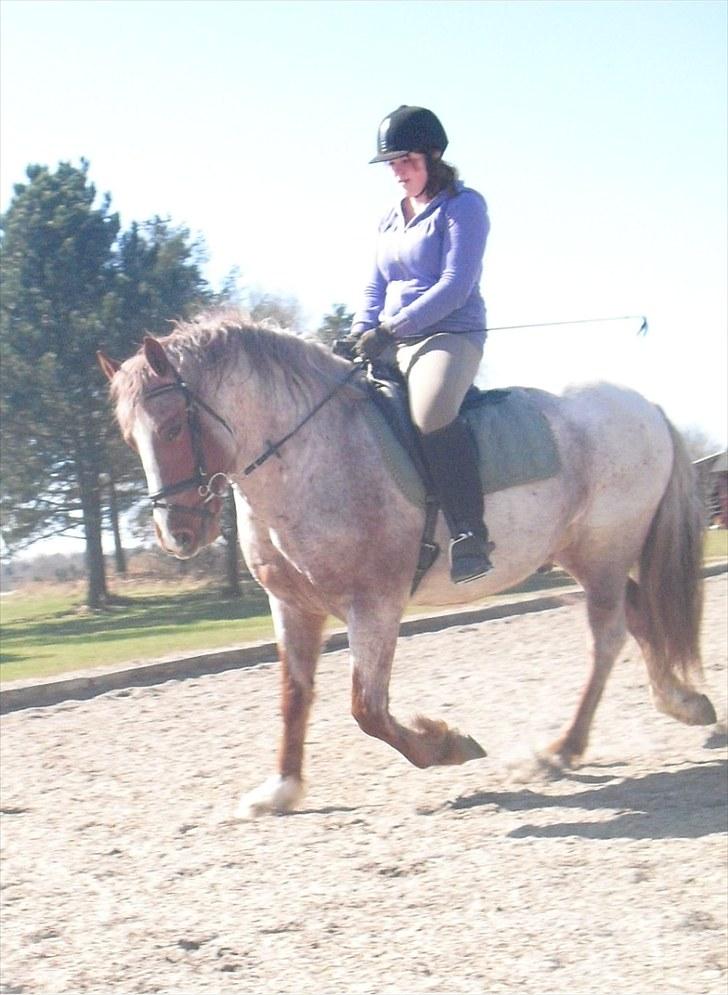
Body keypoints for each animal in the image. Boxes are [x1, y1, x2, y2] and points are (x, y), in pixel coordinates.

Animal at [98, 311, 716, 817]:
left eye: (173, 426)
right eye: (129, 437)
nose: (177, 535)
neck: (311, 454)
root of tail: (643, 406)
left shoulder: (374, 605)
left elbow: (367, 710)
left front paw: (447, 744)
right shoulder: (293, 607)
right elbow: (294, 697)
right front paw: (281, 790)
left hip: (604, 553)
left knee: (608, 639)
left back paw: (563, 748)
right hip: (582, 557)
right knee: (639, 614)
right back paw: (685, 704)